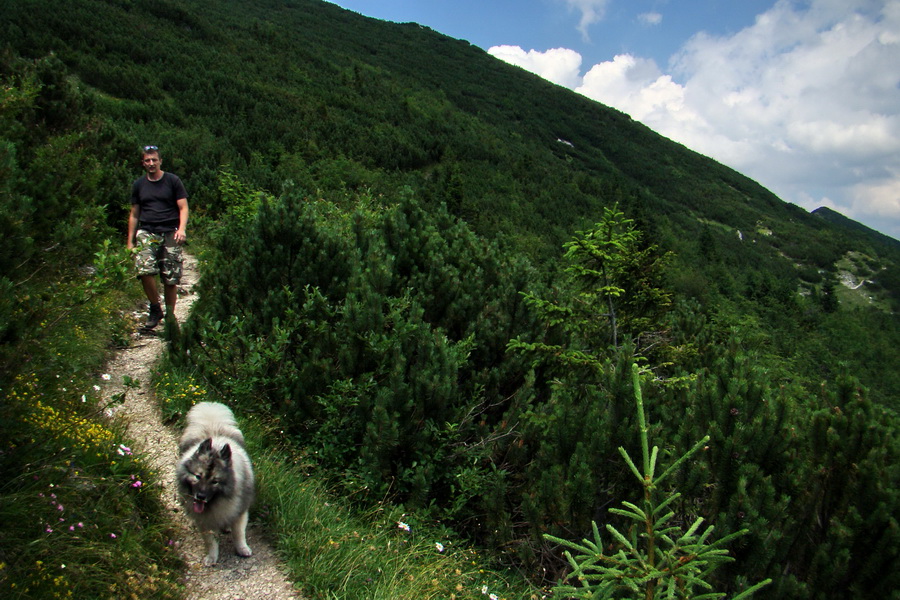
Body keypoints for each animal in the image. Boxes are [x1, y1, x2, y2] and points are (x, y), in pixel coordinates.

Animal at [176, 400, 255, 564]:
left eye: (215, 481)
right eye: (198, 476)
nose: (200, 496)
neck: (215, 503)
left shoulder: (239, 510)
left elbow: (239, 533)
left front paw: (242, 549)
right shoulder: (204, 520)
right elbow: (210, 541)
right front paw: (212, 558)